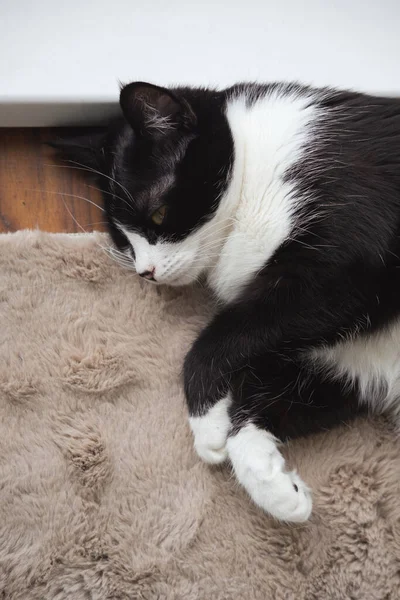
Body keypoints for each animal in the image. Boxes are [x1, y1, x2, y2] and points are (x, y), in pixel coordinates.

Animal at [54, 82, 400, 524]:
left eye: (159, 214)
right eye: (121, 237)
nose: (145, 272)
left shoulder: (344, 261)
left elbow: (215, 341)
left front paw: (206, 422)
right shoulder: (354, 360)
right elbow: (286, 394)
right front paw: (270, 481)